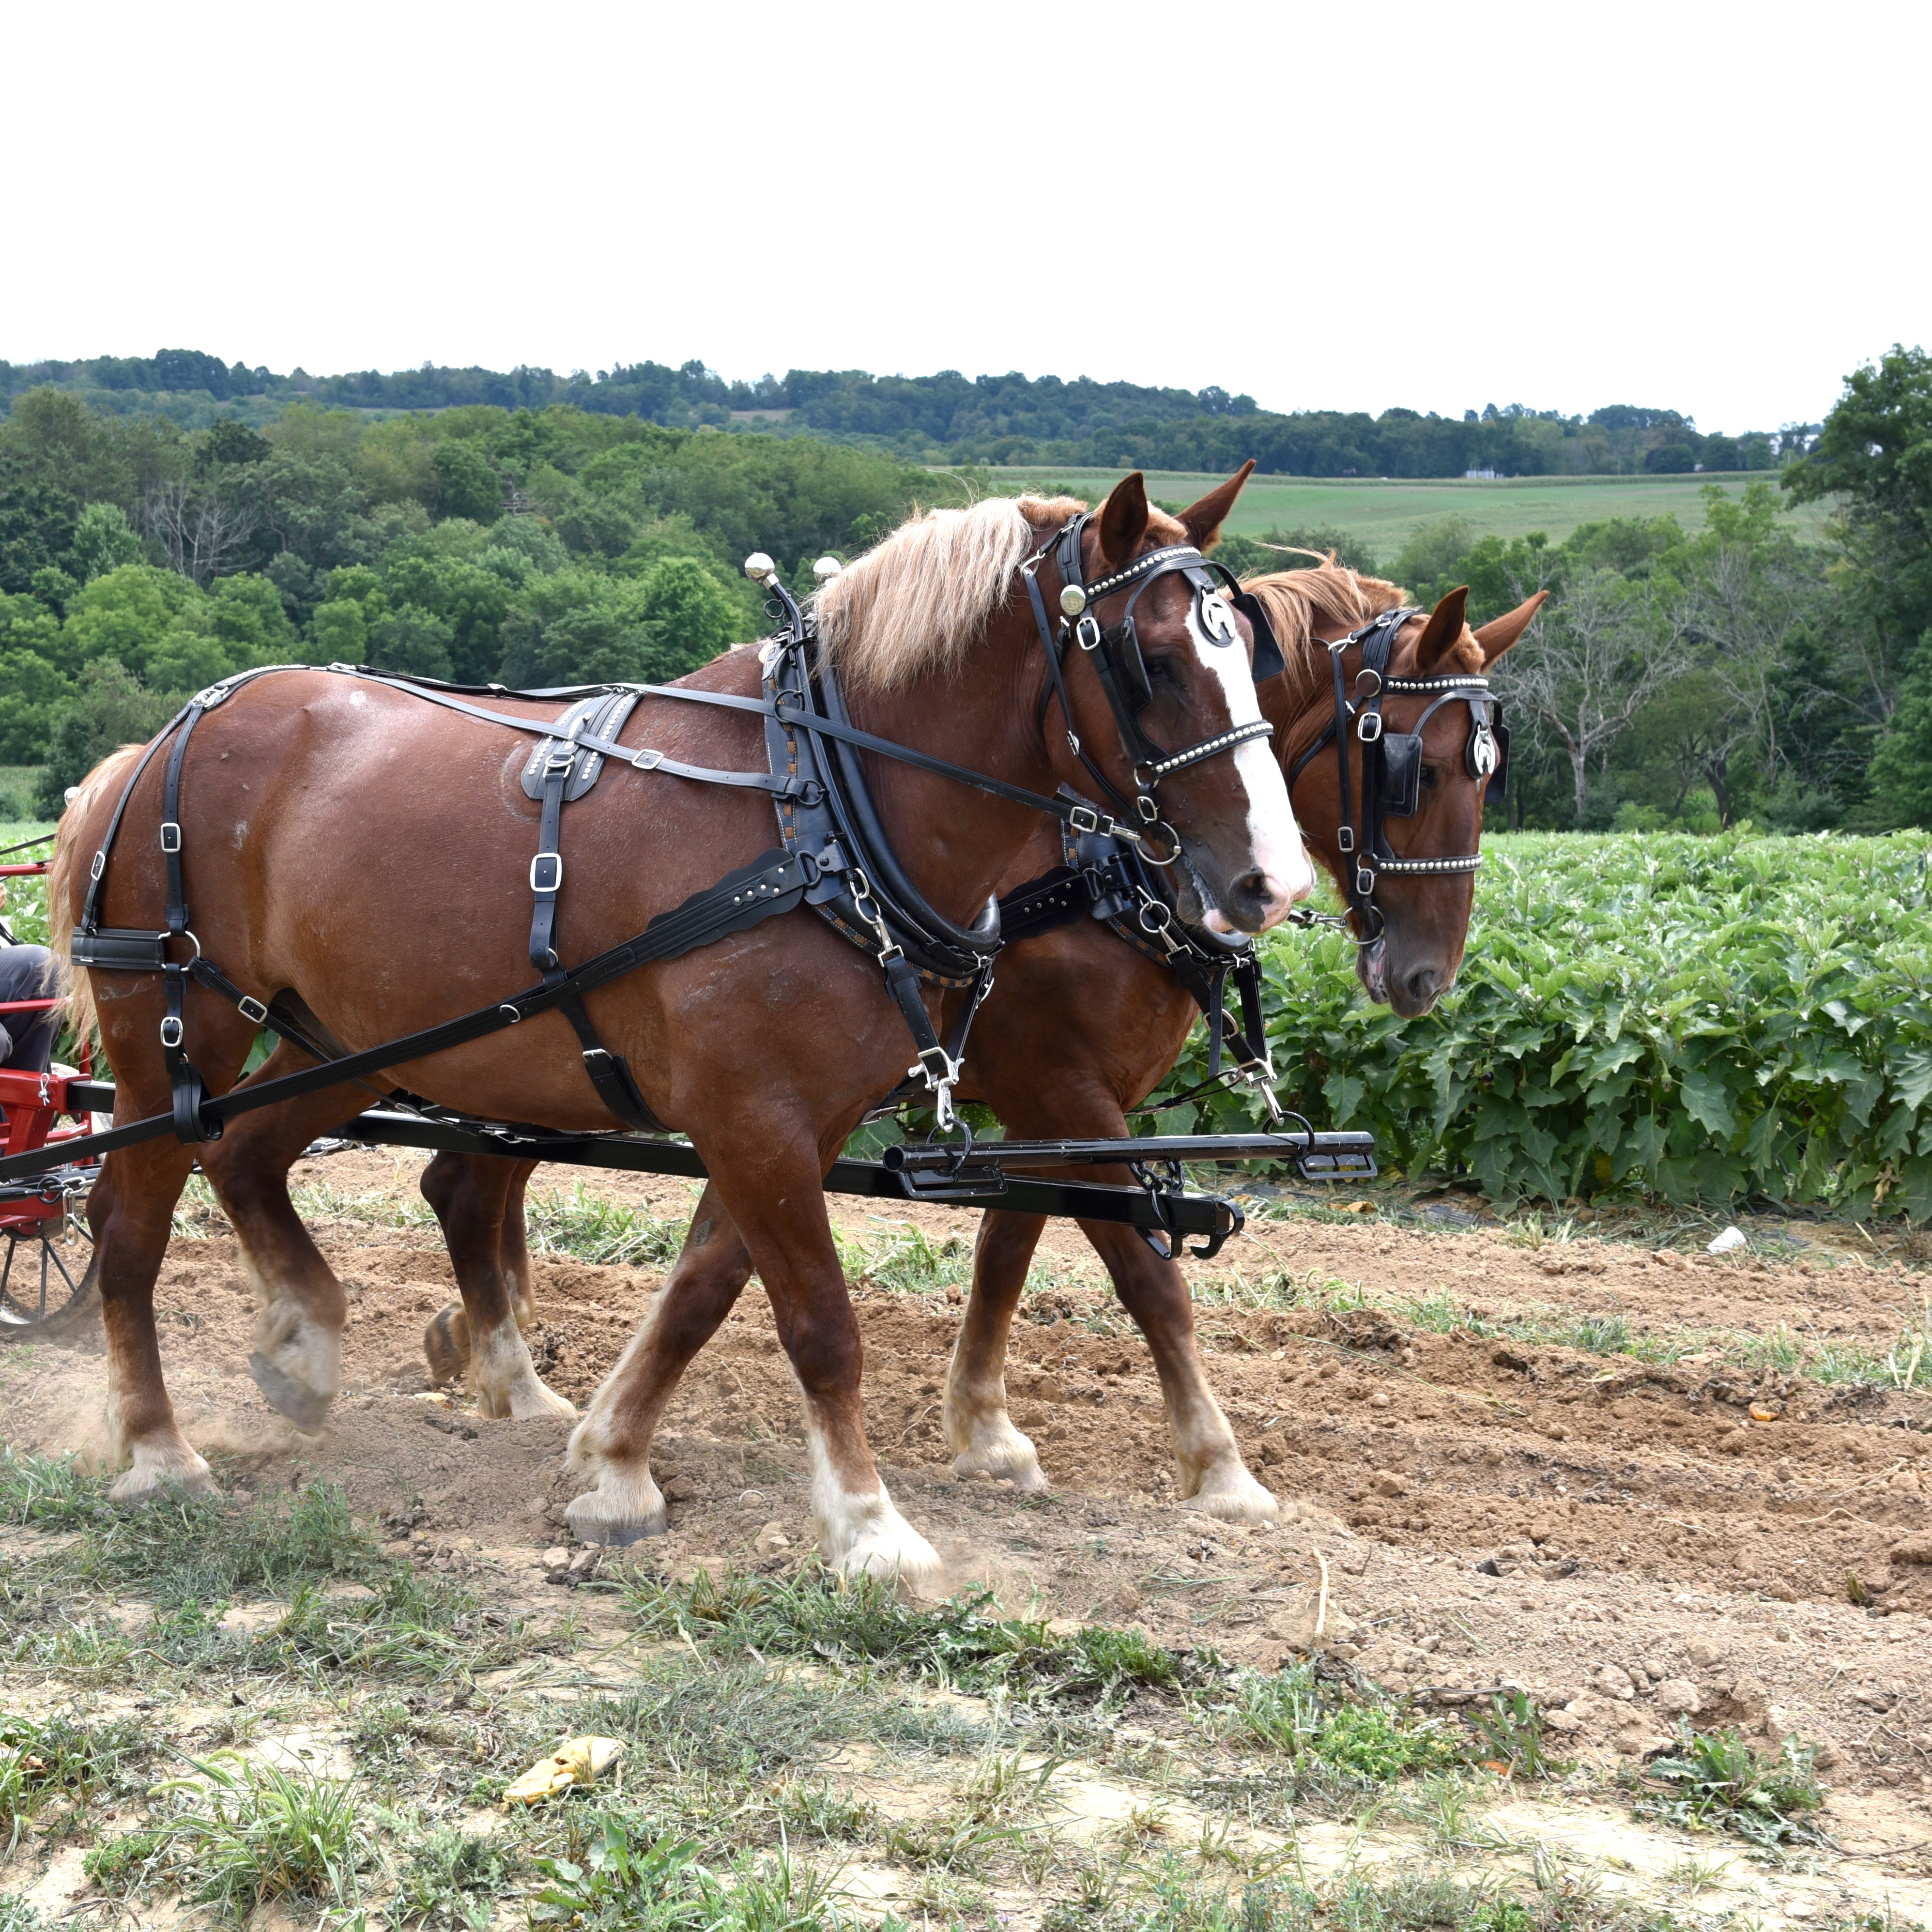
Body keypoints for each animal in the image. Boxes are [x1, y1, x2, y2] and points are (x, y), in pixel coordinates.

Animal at [56, 471, 1314, 1584]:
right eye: (1152, 662)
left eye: (1252, 656)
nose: (1275, 883)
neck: (820, 806)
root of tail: (144, 752)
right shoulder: (759, 1111)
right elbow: (823, 1321)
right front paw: (872, 1530)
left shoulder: (796, 1118)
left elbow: (706, 1290)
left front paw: (613, 1467)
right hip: (176, 1031)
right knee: (129, 1222)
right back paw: (158, 1450)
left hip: (346, 1036)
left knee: (252, 1156)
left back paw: (308, 1346)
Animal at [415, 560, 1546, 1538]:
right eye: (1415, 770)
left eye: (1489, 778)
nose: (1426, 978)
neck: (1095, 862)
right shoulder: (1055, 1082)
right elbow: (1142, 1273)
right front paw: (1219, 1471)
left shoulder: (1042, 1104)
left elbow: (1010, 1246)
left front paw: (988, 1432)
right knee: (466, 1184)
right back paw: (507, 1373)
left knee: (470, 1181)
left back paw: (487, 1353)